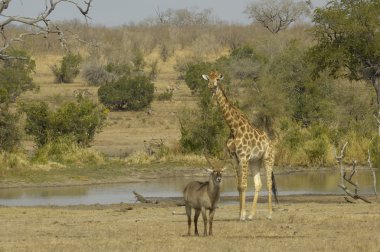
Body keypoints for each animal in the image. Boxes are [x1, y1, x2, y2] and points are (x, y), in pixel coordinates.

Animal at [200, 71, 278, 220]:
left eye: (217, 79)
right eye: (209, 79)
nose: (211, 86)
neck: (234, 128)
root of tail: (271, 142)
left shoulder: (244, 157)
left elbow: (244, 185)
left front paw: (242, 215)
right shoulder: (234, 158)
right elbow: (239, 186)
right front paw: (241, 214)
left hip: (268, 158)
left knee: (269, 184)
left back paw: (270, 214)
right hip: (255, 161)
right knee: (258, 184)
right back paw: (252, 215)